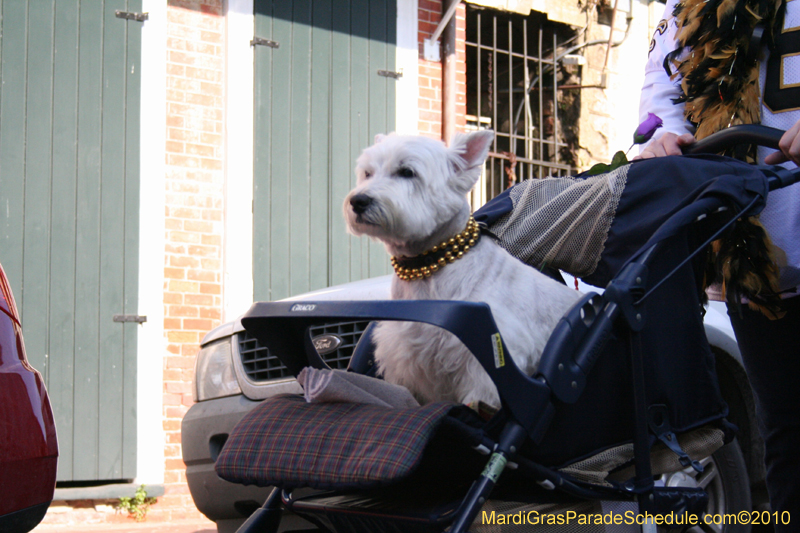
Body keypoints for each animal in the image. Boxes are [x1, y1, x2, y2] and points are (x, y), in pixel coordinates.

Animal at [344, 131, 580, 406]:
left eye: (407, 172)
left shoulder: (487, 360)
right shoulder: (406, 357)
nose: (358, 201)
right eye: (367, 173)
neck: (427, 266)